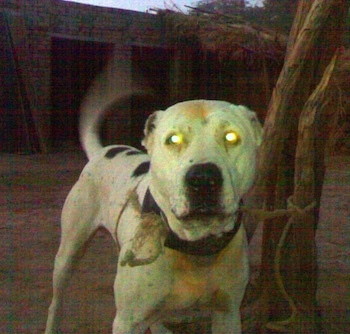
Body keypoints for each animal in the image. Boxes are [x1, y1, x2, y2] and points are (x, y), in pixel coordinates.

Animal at [44, 94, 262, 334]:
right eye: (173, 139)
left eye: (231, 137)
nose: (203, 179)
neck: (195, 246)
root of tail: (102, 152)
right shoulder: (126, 322)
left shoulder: (228, 313)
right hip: (68, 253)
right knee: (56, 299)